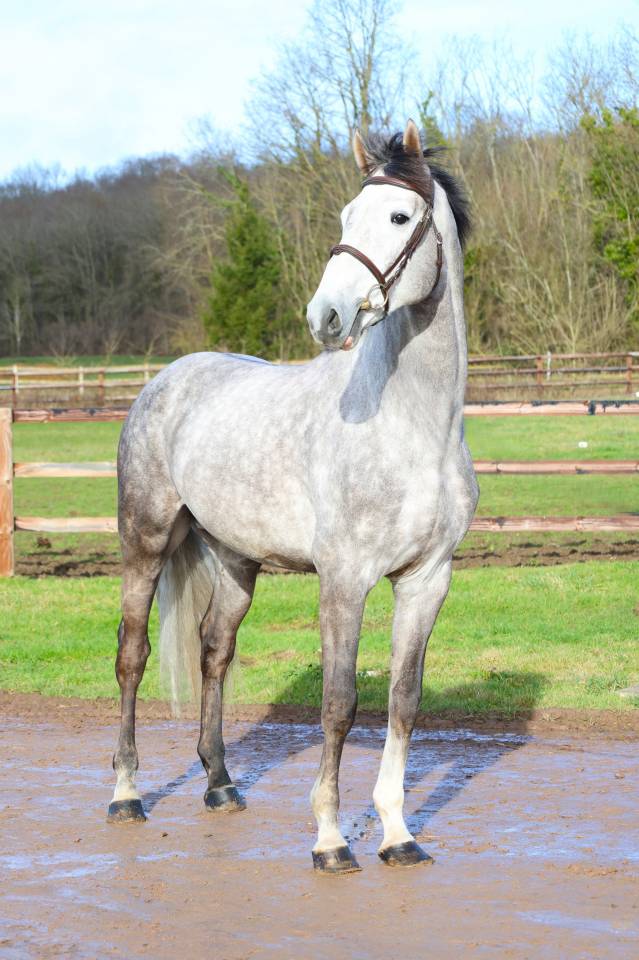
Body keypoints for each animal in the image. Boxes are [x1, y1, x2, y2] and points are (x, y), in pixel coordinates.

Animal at [107, 118, 478, 875]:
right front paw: (331, 840)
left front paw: (397, 834)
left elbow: (403, 700)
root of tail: (166, 381)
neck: (412, 426)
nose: (325, 316)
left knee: (213, 652)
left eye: (399, 218)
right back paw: (126, 795)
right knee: (132, 657)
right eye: (345, 215)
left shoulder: (426, 580)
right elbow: (339, 702)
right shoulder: (344, 579)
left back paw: (220, 785)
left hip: (234, 562)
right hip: (146, 543)